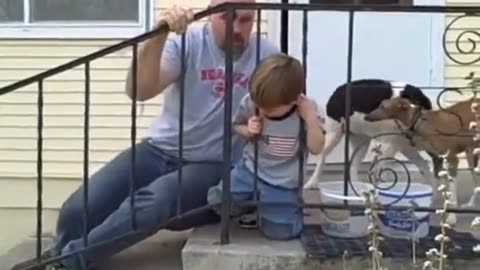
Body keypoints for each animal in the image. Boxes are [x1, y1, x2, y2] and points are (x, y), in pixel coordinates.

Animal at [304, 79, 442, 190]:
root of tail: (338, 89)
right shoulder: (390, 146)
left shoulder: (407, 149)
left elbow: (425, 168)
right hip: (334, 133)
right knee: (322, 157)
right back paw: (311, 183)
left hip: (360, 142)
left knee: (352, 165)